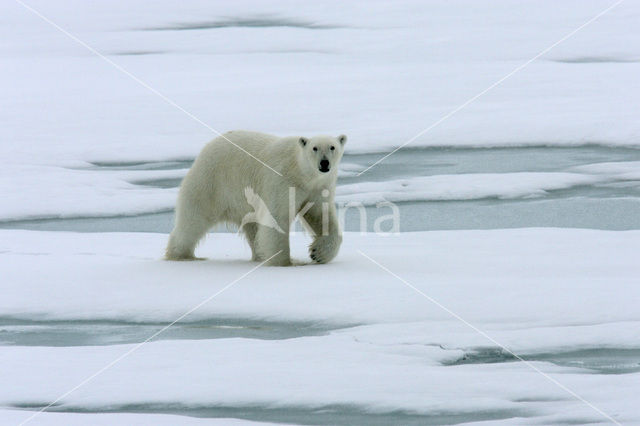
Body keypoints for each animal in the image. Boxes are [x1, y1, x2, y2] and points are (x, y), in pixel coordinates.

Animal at [165, 131, 344, 266]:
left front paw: (318, 253)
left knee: (252, 227)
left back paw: (259, 256)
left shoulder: (317, 188)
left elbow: (321, 217)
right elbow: (276, 218)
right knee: (194, 220)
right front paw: (285, 262)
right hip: (211, 183)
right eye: (315, 148)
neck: (300, 172)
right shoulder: (281, 181)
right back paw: (182, 255)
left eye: (332, 147)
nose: (324, 163)